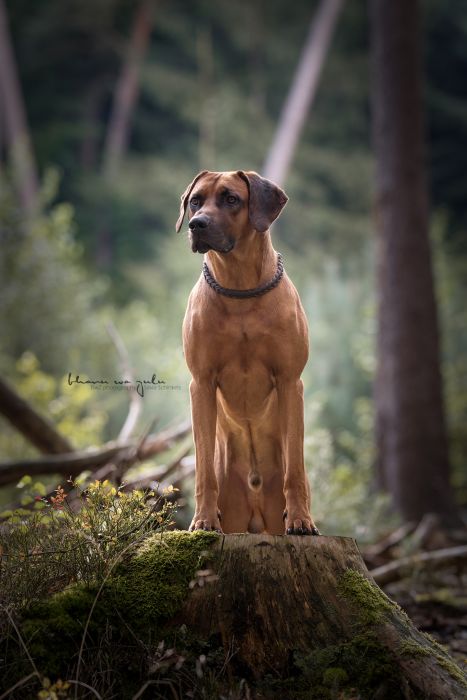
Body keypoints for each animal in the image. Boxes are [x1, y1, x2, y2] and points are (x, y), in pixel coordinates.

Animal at [177, 171, 320, 536]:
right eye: (195, 201)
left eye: (231, 199)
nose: (196, 224)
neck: (239, 286)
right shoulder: (200, 383)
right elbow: (202, 466)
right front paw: (203, 520)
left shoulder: (290, 381)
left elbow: (295, 465)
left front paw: (300, 519)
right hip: (234, 505)